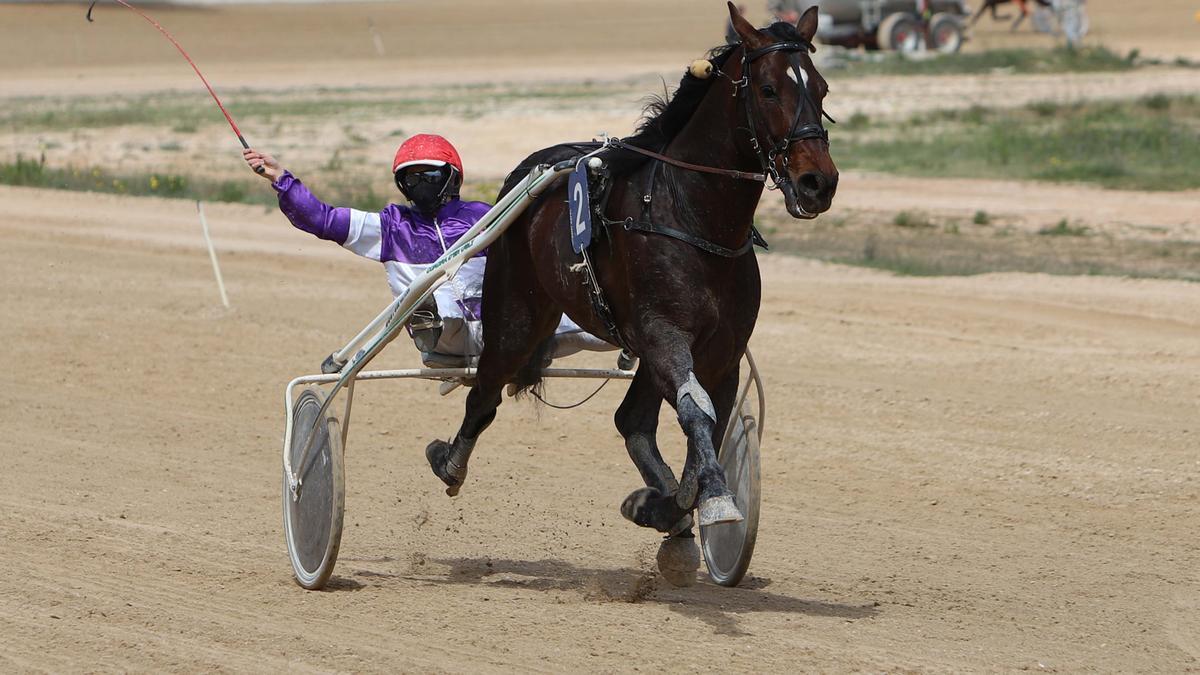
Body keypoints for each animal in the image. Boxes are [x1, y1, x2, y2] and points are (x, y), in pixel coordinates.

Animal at [427, 2, 840, 576]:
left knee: (632, 420)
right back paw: (449, 462)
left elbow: (705, 424)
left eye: (821, 88)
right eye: (768, 90)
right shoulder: (663, 335)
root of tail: (529, 172)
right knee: (484, 390)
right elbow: (696, 413)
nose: (818, 182)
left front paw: (666, 506)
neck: (694, 218)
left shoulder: (720, 351)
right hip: (516, 315)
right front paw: (712, 500)